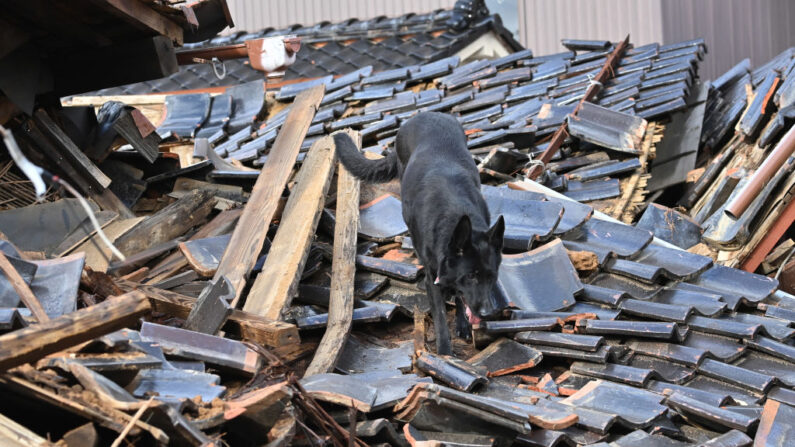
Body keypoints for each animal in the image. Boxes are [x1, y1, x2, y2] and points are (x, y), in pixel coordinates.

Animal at [334, 111, 504, 354]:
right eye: (471, 276)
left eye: (492, 276)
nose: (488, 313)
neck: (455, 212)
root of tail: (424, 114)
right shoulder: (433, 278)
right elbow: (440, 317)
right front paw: (444, 353)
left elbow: (460, 297)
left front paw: (462, 324)